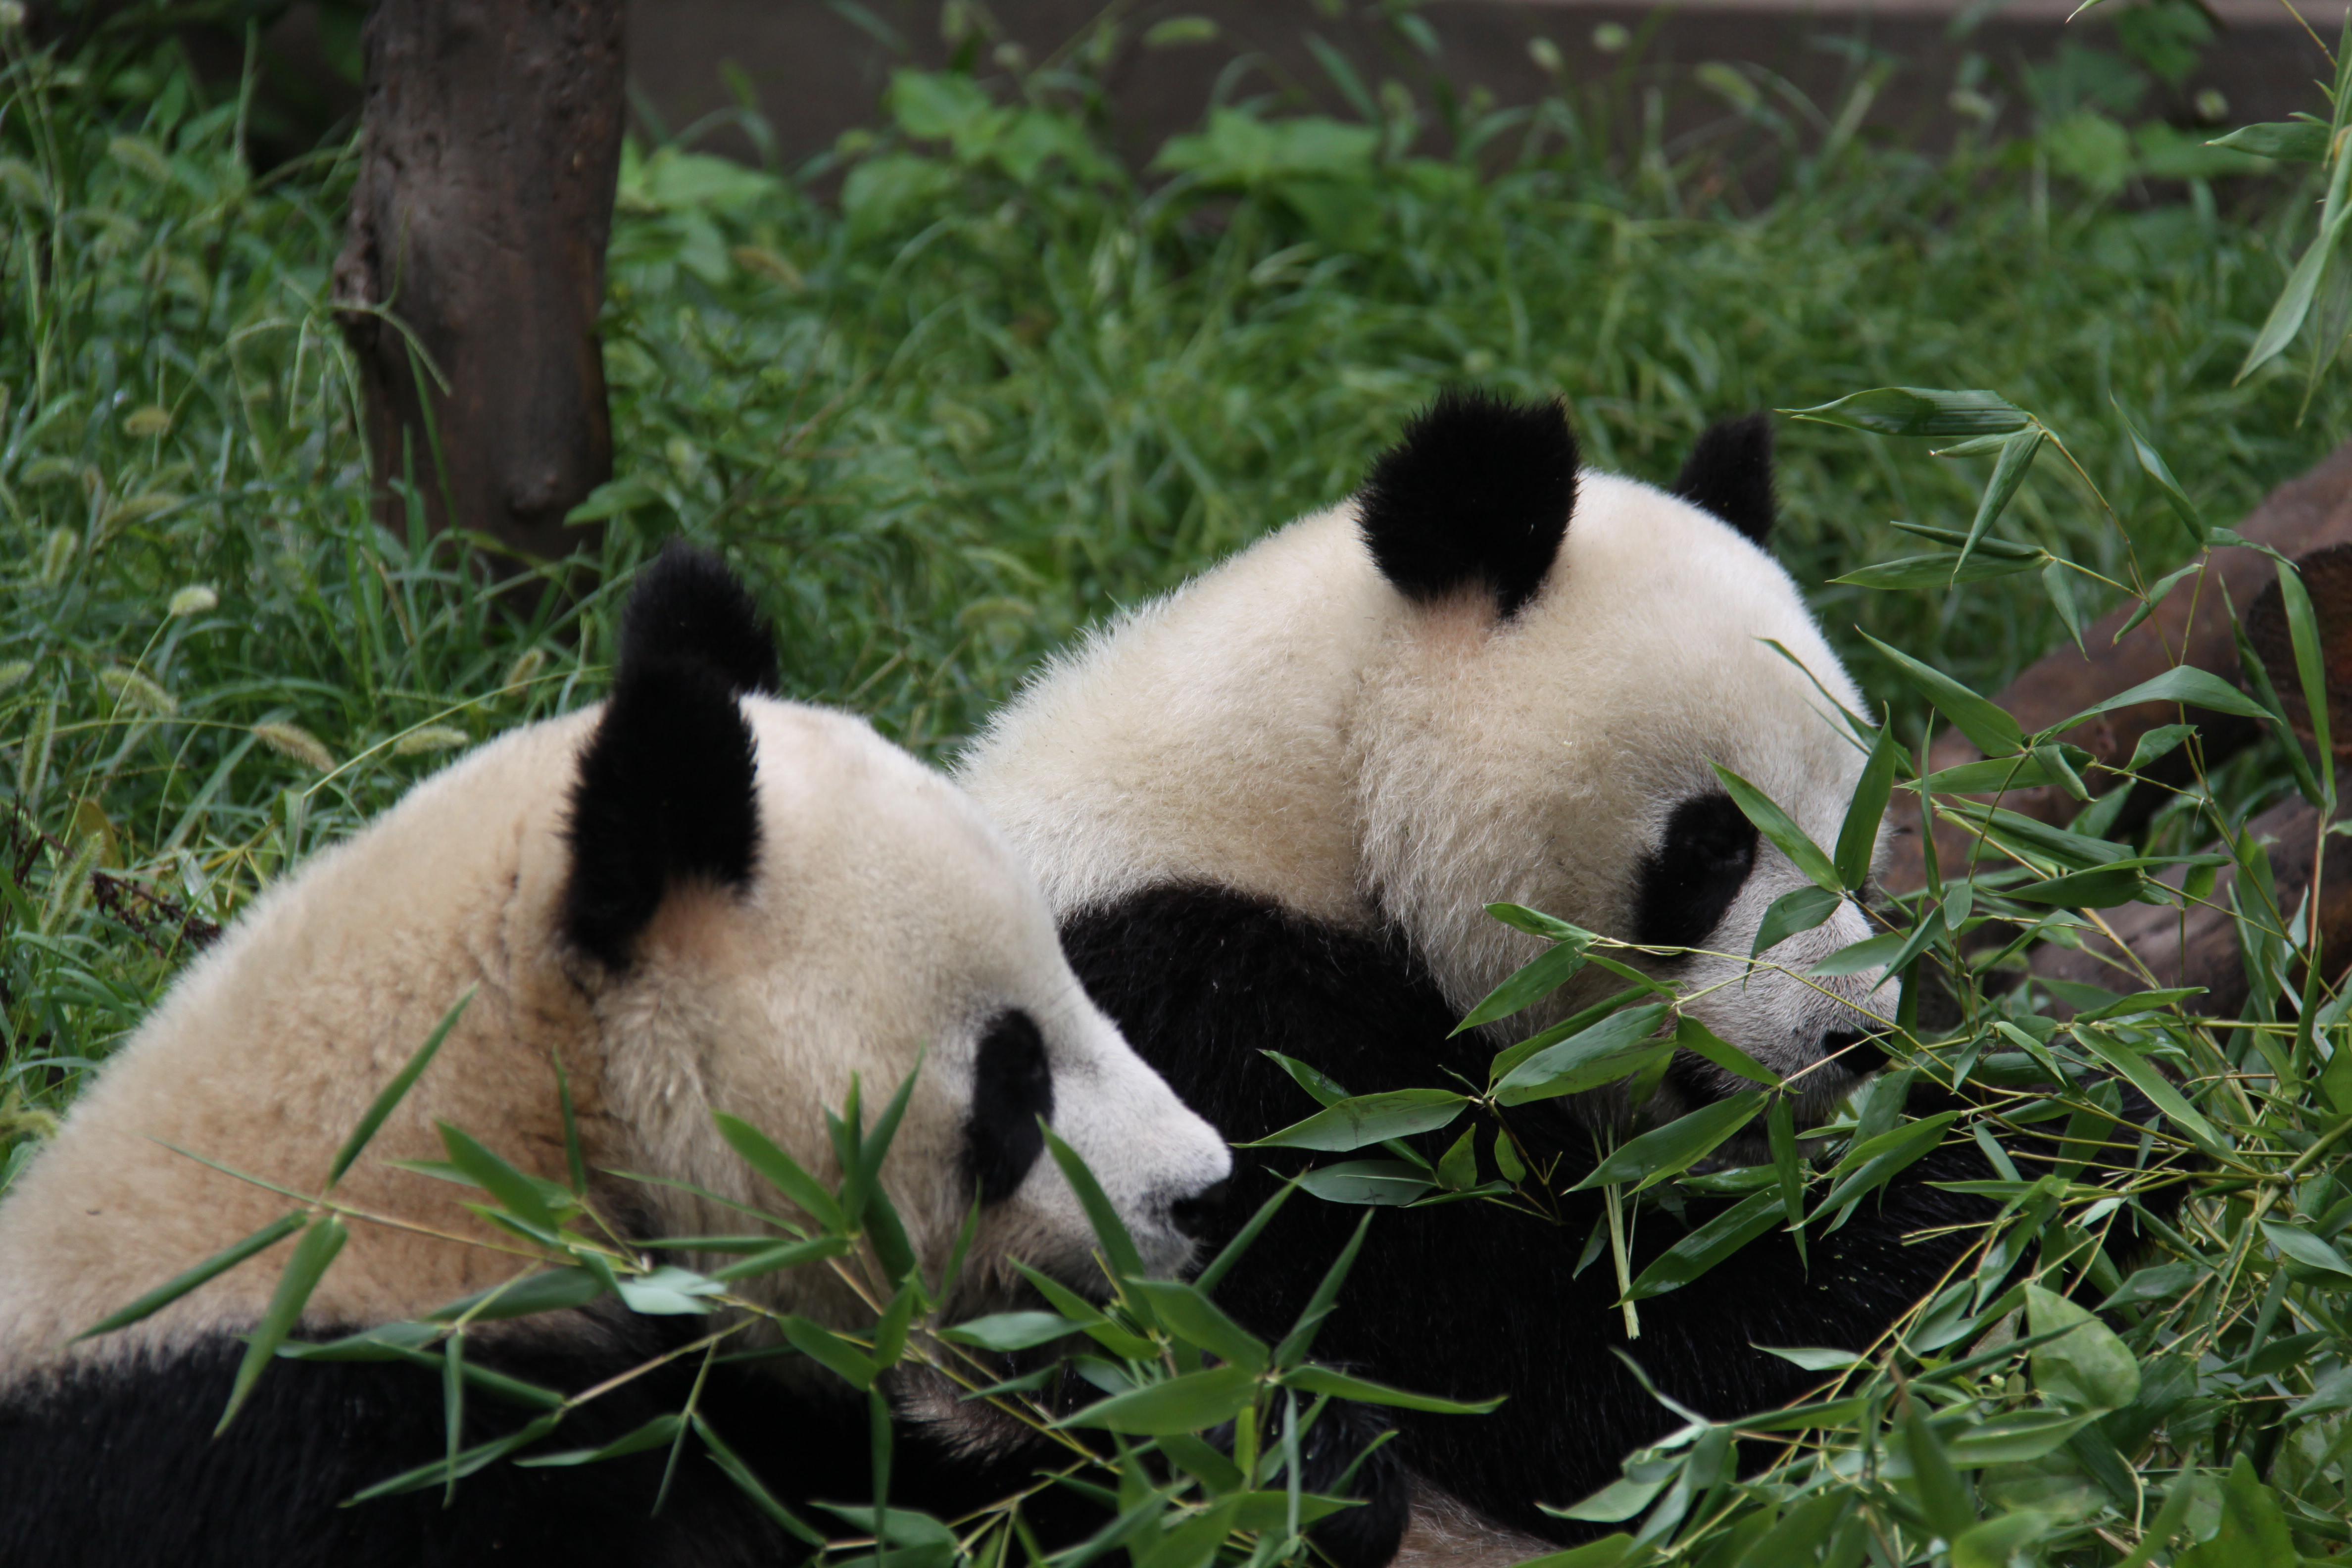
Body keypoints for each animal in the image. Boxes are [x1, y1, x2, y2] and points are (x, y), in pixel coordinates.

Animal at [957, 391, 2113, 1557]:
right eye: (1712, 847)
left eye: (1859, 856)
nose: (1854, 1037)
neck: (1315, 783)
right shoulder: (1205, 1034)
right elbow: (1579, 1373)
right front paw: (2031, 1160)